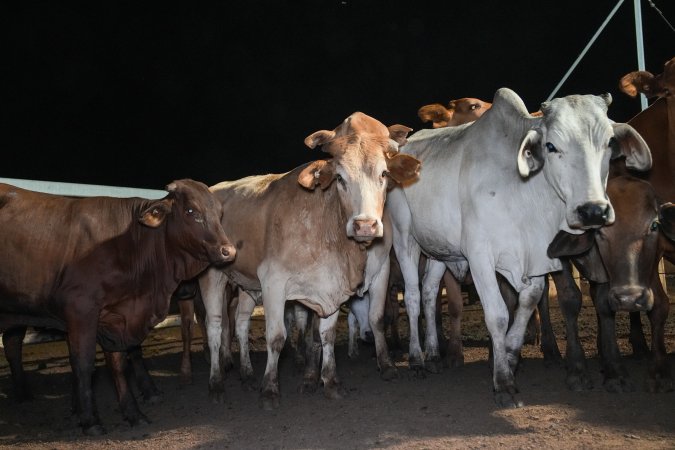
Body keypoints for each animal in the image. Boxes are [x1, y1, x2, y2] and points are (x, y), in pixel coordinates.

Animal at [0, 180, 235, 436]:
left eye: (220, 213)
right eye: (191, 211)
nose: (228, 251)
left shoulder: (115, 318)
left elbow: (119, 364)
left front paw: (133, 413)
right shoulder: (81, 310)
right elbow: (84, 365)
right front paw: (90, 420)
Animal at [388, 88, 652, 408]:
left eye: (610, 143)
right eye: (550, 146)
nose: (593, 211)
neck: (523, 191)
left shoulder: (535, 259)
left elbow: (527, 304)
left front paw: (511, 357)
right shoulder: (480, 256)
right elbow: (499, 315)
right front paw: (503, 382)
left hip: (439, 249)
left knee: (428, 293)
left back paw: (435, 355)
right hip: (405, 238)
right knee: (413, 296)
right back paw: (416, 359)